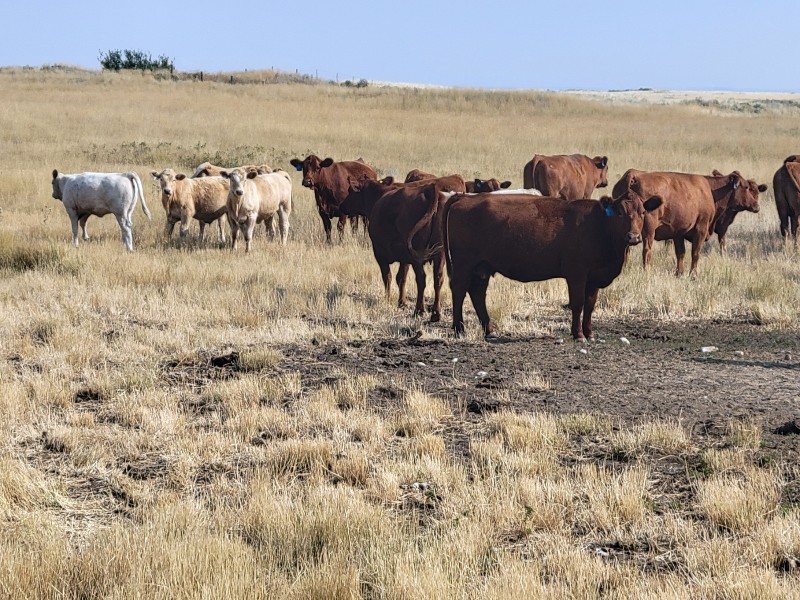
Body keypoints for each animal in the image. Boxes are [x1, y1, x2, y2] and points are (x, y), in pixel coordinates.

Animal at [443, 192, 662, 340]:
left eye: (643, 212)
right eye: (619, 213)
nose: (633, 237)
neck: (600, 226)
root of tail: (466, 197)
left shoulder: (594, 278)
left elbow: (590, 305)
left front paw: (589, 333)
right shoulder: (577, 274)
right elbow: (578, 303)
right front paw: (578, 334)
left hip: (482, 267)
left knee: (477, 293)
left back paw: (490, 330)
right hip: (464, 264)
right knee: (459, 290)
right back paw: (459, 329)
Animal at [612, 169, 763, 274]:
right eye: (747, 187)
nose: (757, 206)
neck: (710, 190)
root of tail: (633, 176)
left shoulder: (678, 233)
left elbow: (681, 253)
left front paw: (679, 273)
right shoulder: (701, 228)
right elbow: (695, 253)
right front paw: (693, 275)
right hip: (647, 230)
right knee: (646, 251)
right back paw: (646, 272)